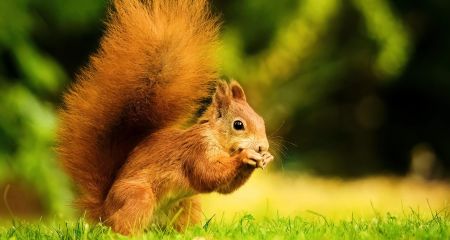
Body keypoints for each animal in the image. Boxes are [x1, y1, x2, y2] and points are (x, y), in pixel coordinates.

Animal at [56, 0, 274, 235]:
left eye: (261, 121)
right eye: (238, 124)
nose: (262, 146)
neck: (216, 138)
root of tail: (104, 210)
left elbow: (224, 187)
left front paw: (265, 158)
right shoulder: (196, 150)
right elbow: (208, 175)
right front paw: (246, 156)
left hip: (186, 204)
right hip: (138, 197)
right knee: (121, 225)